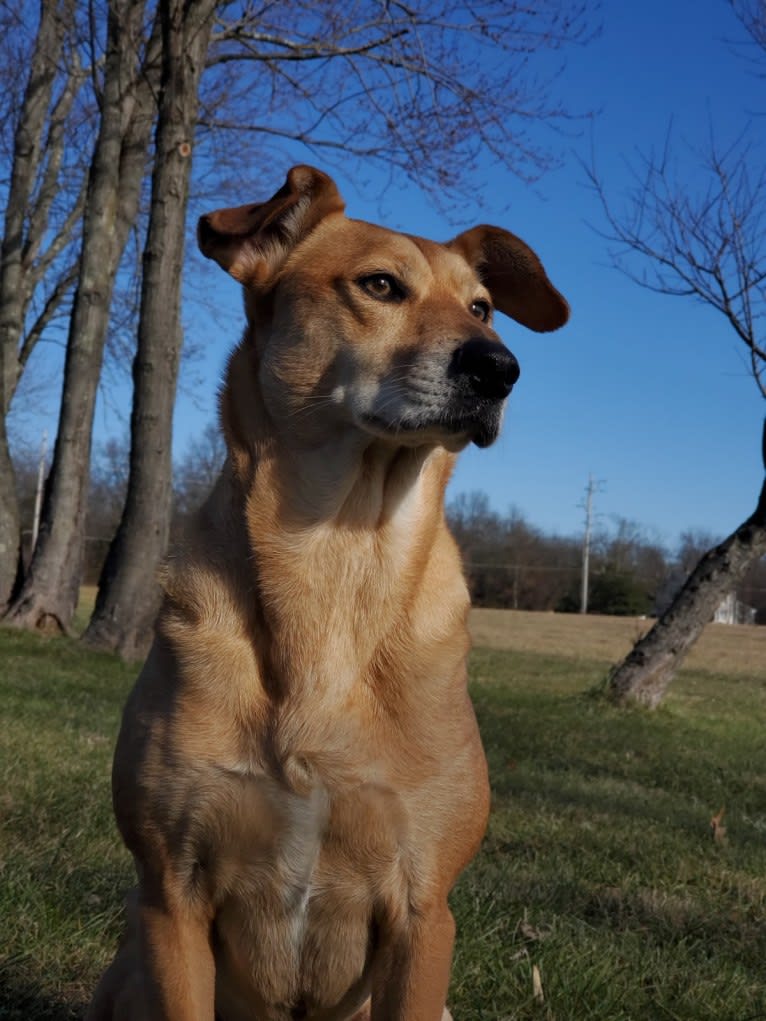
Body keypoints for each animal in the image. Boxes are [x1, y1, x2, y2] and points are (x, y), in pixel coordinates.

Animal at [88, 167, 571, 1021]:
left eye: (480, 306)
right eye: (380, 285)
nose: (499, 368)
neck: (337, 554)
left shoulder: (423, 910)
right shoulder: (170, 893)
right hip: (127, 973)